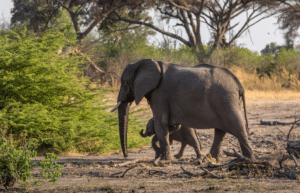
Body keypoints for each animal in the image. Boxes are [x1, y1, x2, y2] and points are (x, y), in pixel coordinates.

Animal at [111, 58, 254, 161]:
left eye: (124, 83)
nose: (126, 156)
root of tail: (239, 84)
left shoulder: (159, 94)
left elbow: (160, 122)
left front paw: (164, 161)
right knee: (220, 131)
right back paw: (210, 159)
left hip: (225, 99)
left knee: (237, 127)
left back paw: (247, 160)